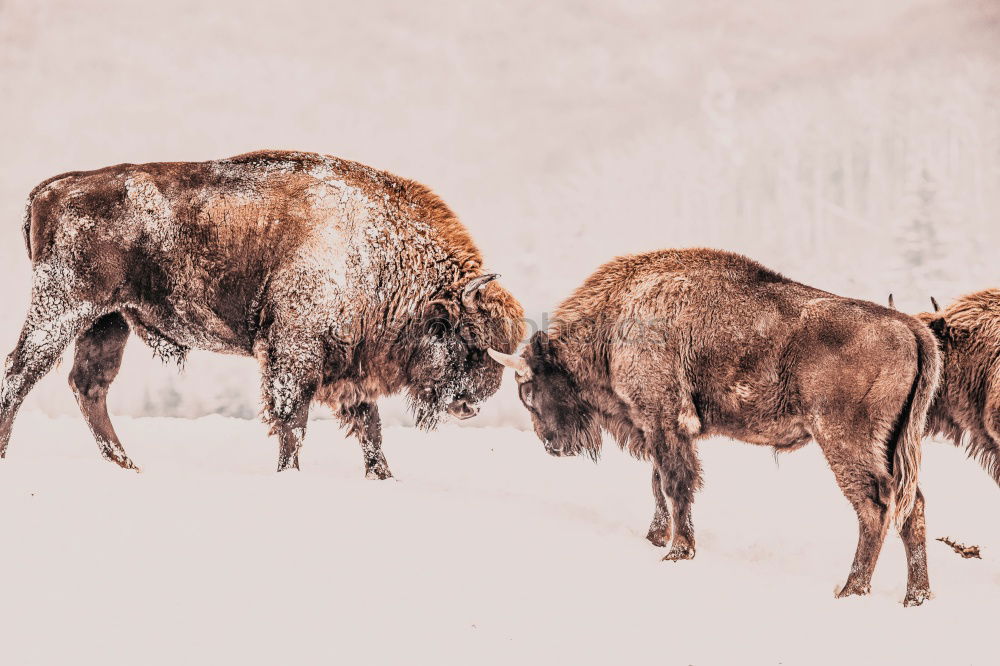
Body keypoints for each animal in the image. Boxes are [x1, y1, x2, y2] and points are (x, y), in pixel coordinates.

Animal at [0, 148, 528, 474]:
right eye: (468, 339)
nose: (469, 404)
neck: (377, 252)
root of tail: (51, 189)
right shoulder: (294, 355)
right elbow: (293, 424)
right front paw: (288, 475)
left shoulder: (348, 370)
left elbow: (369, 429)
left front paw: (384, 478)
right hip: (62, 308)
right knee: (20, 376)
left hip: (108, 320)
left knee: (89, 385)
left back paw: (129, 467)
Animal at [494, 248, 944, 600]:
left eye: (528, 391)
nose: (553, 445)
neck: (615, 321)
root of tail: (911, 326)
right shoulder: (656, 428)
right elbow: (658, 482)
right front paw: (657, 537)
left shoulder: (664, 421)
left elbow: (675, 483)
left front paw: (678, 551)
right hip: (894, 446)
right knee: (913, 505)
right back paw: (915, 596)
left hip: (845, 441)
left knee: (875, 506)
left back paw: (851, 589)